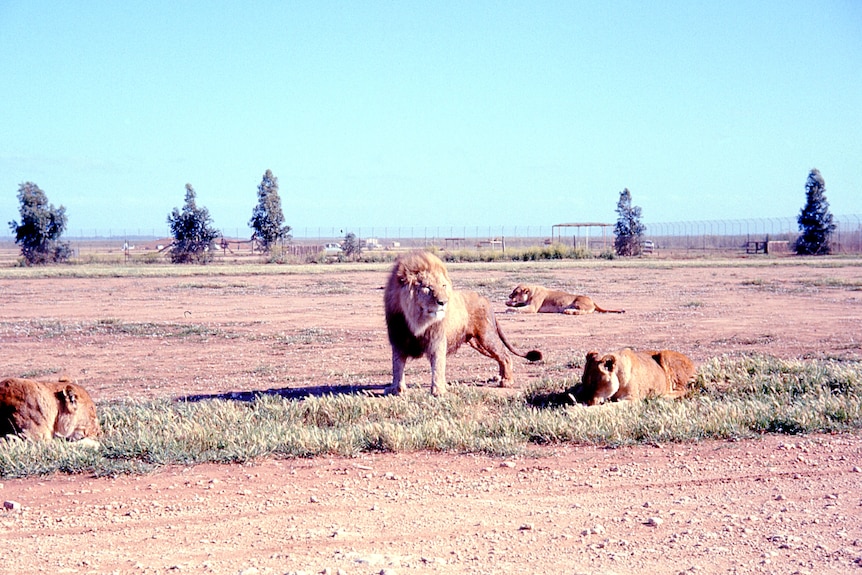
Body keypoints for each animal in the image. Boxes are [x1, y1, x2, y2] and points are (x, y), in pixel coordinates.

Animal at [384, 251, 542, 395]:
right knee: (500, 357)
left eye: (443, 286)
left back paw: (507, 381)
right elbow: (397, 366)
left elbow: (438, 367)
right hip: (477, 343)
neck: (417, 319)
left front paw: (438, 391)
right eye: (427, 288)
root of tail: (485, 299)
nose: (443, 302)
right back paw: (500, 377)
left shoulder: (437, 340)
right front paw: (396, 389)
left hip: (486, 337)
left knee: (505, 355)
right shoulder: (397, 339)